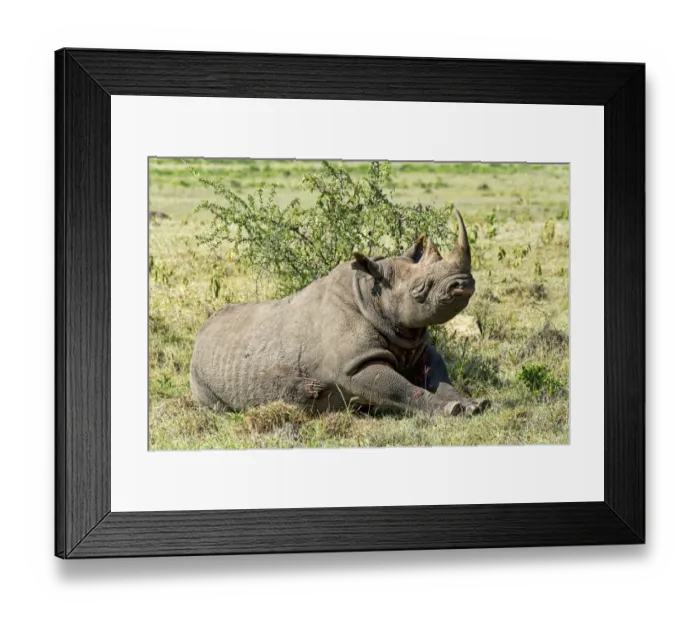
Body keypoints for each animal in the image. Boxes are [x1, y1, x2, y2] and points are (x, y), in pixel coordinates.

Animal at [190, 211, 489, 416]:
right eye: (420, 289)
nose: (463, 284)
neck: (372, 296)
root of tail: (200, 333)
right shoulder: (354, 366)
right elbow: (403, 389)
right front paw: (450, 411)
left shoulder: (417, 347)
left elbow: (439, 377)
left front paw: (475, 405)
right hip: (199, 374)